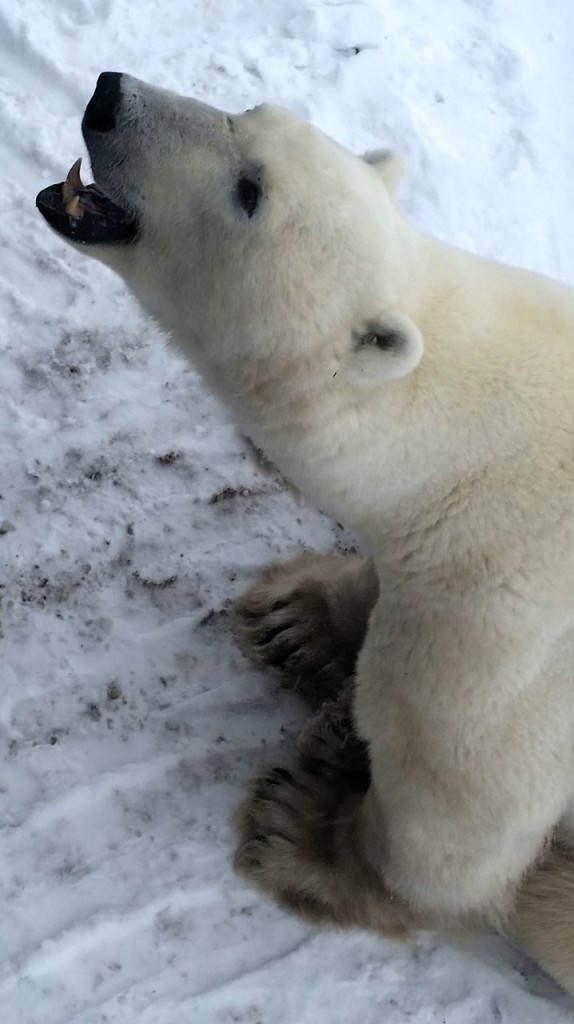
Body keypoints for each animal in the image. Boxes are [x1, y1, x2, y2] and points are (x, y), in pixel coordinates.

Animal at [36, 72, 574, 994]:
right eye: (246, 112)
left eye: (250, 192)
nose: (107, 96)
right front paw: (301, 622)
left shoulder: (509, 628)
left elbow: (464, 809)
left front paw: (303, 834)